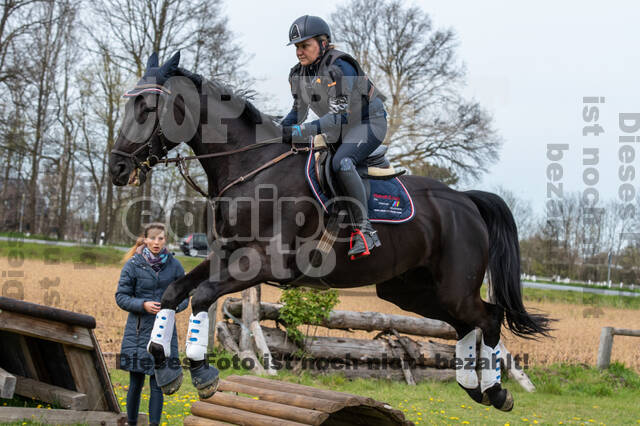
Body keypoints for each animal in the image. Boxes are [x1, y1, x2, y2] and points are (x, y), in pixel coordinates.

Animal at [109, 51, 552, 412]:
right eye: (131, 102)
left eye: (148, 106)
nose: (117, 167)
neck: (251, 168)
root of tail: (465, 200)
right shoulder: (224, 255)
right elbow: (172, 292)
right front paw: (165, 368)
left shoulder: (262, 263)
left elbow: (200, 296)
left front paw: (202, 372)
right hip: (409, 290)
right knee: (463, 324)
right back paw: (474, 387)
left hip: (454, 286)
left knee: (488, 316)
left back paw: (496, 391)